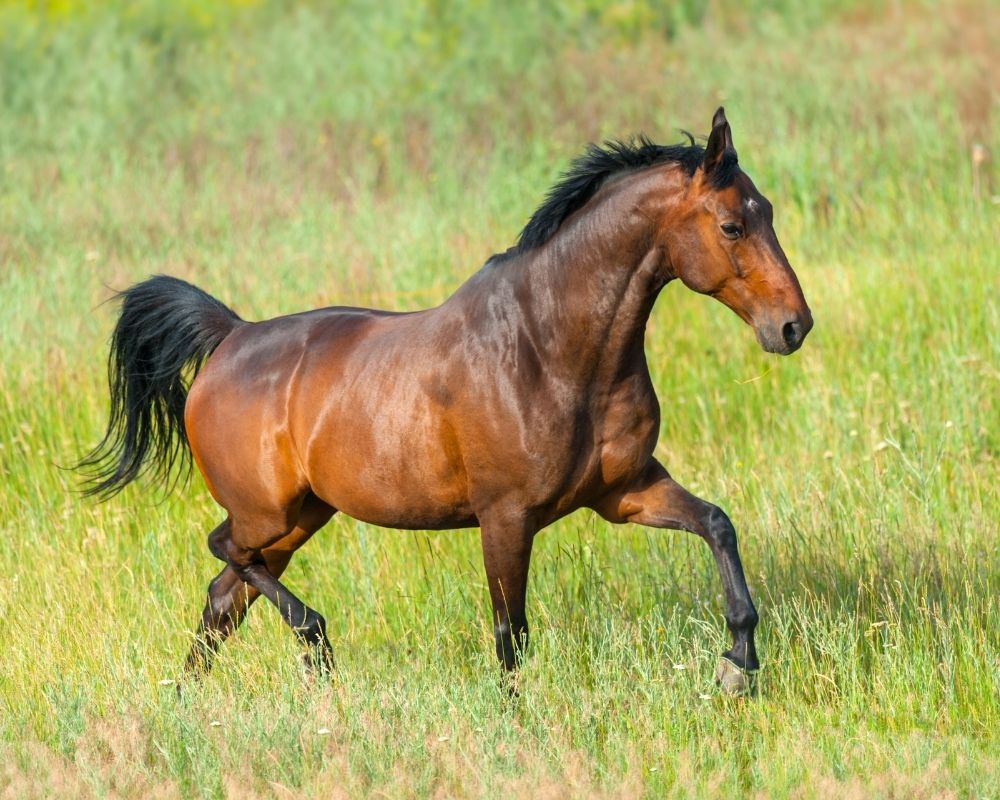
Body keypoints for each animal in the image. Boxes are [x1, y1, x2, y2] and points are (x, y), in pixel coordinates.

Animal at [78, 108, 812, 692]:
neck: (548, 349)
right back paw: (315, 641)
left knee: (222, 598)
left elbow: (717, 524)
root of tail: (230, 335)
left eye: (768, 212)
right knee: (223, 552)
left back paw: (191, 699)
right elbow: (511, 635)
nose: (793, 326)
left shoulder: (625, 490)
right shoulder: (506, 518)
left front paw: (738, 664)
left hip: (299, 518)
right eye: (731, 227)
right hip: (267, 514)